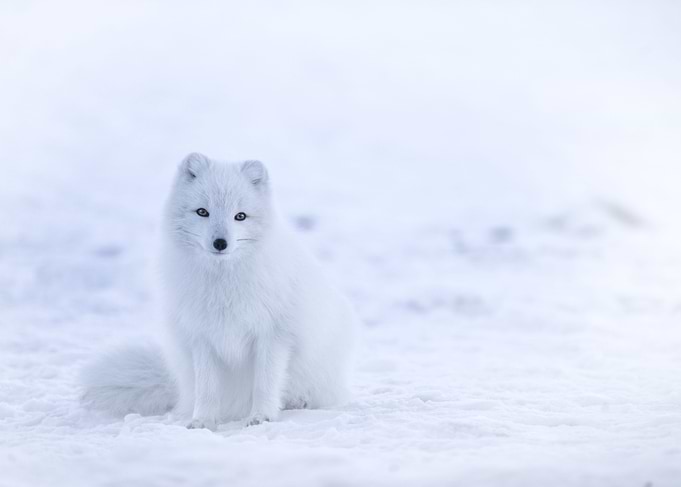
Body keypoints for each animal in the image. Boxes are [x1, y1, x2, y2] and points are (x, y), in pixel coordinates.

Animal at [81, 153, 357, 429]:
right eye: (203, 212)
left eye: (240, 216)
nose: (220, 243)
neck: (223, 284)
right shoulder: (202, 337)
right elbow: (207, 389)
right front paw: (202, 421)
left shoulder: (273, 335)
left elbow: (265, 383)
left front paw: (261, 417)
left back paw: (298, 402)